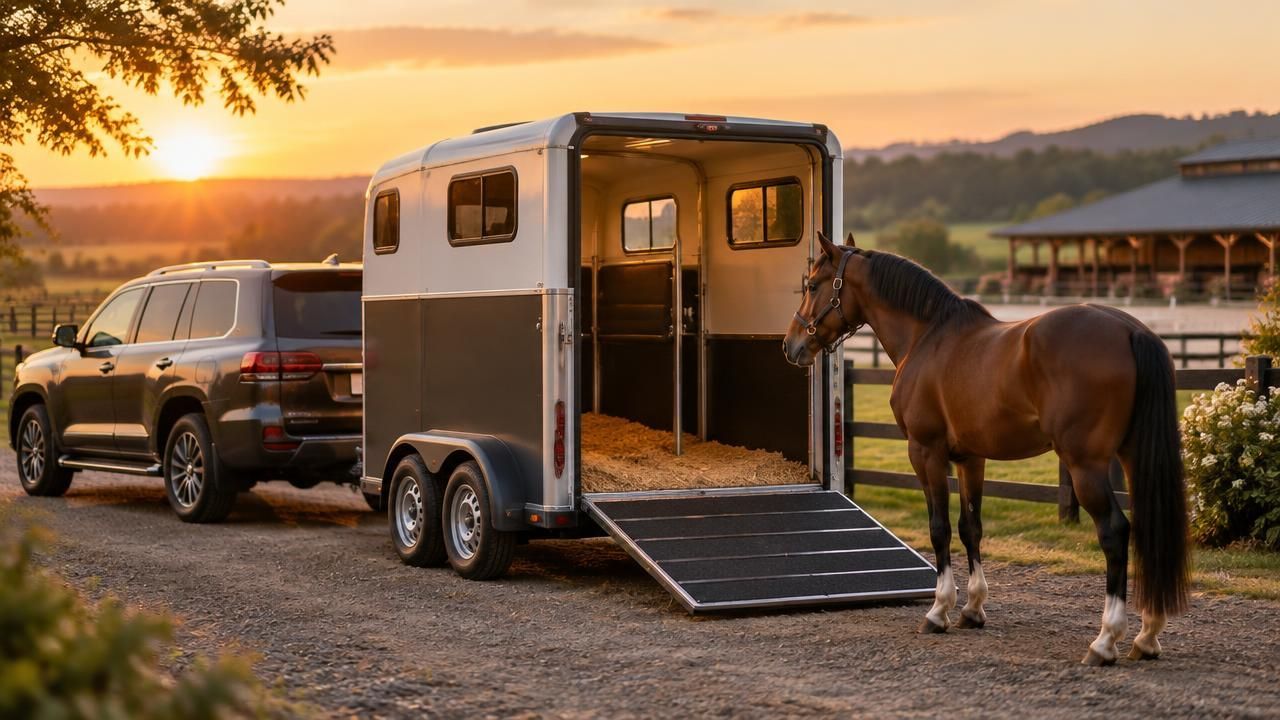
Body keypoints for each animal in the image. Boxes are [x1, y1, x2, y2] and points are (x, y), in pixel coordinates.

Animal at [784, 232, 1189, 666]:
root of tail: (1131, 331)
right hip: (1132, 456)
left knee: (1114, 531)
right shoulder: (970, 457)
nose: (791, 344)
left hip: (1085, 465)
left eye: (813, 286)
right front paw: (973, 609)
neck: (926, 336)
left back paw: (1106, 640)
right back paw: (1147, 636)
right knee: (1146, 528)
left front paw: (938, 611)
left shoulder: (925, 451)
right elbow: (970, 527)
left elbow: (940, 528)